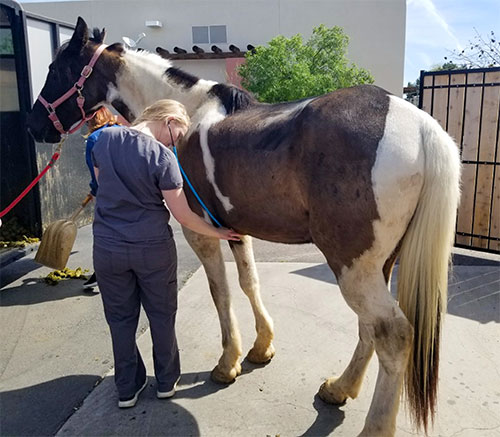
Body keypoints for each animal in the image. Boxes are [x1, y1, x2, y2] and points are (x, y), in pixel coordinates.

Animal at [27, 17, 460, 436]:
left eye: (55, 69)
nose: (35, 126)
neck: (188, 112)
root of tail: (420, 125)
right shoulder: (236, 230)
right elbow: (249, 282)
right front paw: (261, 347)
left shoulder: (200, 234)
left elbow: (220, 292)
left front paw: (227, 362)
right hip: (377, 266)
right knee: (370, 328)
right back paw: (340, 388)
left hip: (352, 267)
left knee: (392, 333)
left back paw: (372, 424)